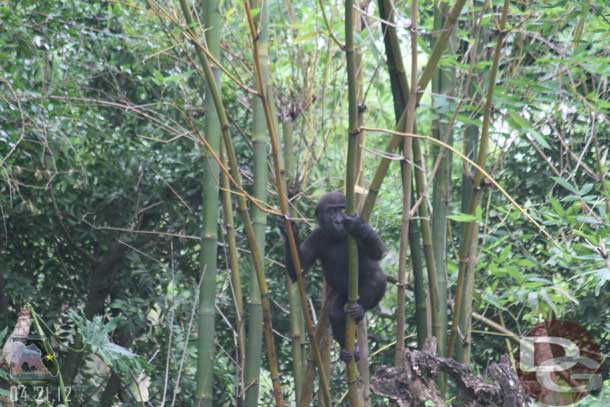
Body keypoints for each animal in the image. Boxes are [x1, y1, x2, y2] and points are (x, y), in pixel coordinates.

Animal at [280, 191, 384, 364]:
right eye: (331, 211)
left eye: (342, 209)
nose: (338, 220)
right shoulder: (317, 235)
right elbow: (298, 269)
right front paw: (290, 232)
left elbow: (377, 251)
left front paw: (358, 226)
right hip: (344, 295)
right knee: (335, 313)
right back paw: (348, 352)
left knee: (375, 279)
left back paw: (359, 310)